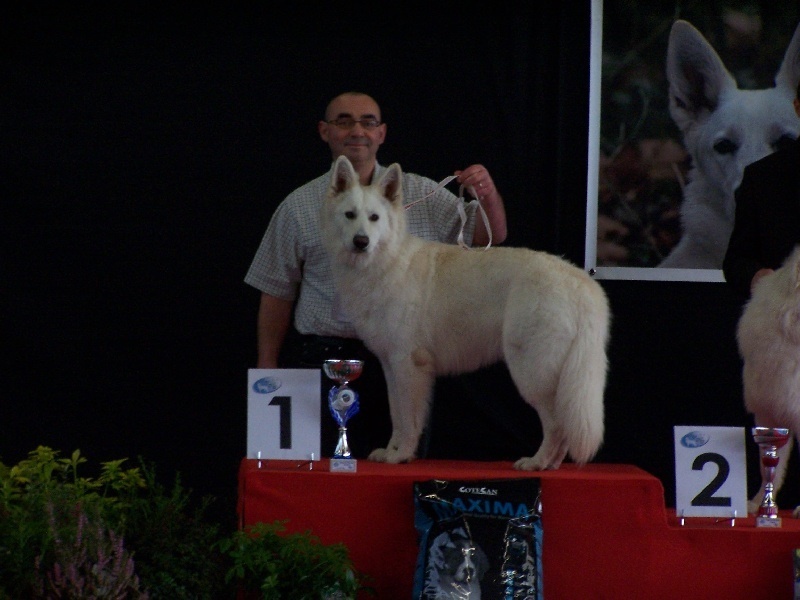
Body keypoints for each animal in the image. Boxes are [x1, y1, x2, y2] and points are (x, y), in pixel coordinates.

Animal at [320, 155, 610, 469]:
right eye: (350, 215)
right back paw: (551, 465)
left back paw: (536, 463)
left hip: (532, 372)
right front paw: (390, 452)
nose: (361, 242)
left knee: (556, 425)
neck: (386, 262)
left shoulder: (408, 365)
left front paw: (401, 455)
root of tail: (580, 283)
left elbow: (408, 419)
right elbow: (396, 415)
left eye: (374, 218)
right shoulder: (391, 366)